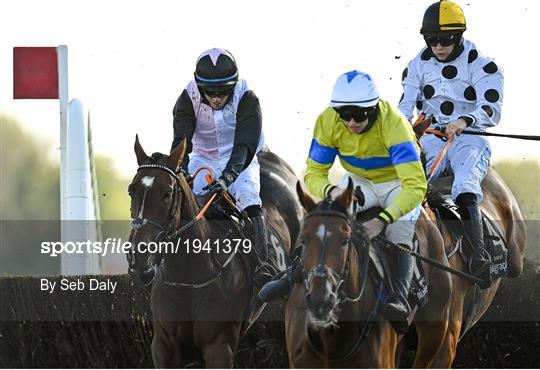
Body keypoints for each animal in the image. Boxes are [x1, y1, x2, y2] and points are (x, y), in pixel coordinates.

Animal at [127, 137, 304, 368]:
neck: (188, 277)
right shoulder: (163, 345)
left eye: (167, 193)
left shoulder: (218, 347)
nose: (138, 251)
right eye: (131, 190)